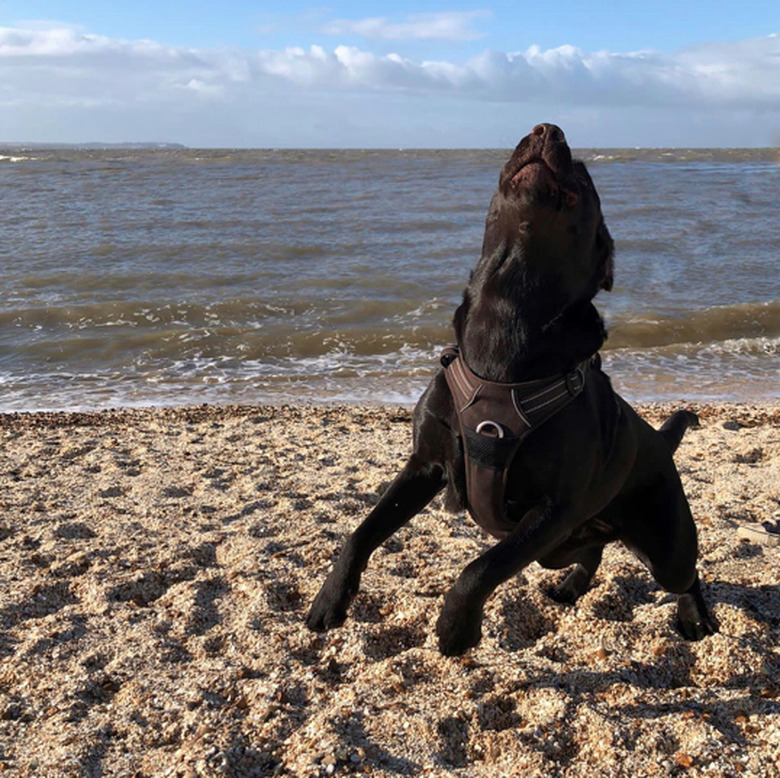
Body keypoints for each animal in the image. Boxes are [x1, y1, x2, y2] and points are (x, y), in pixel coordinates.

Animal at [306, 123, 720, 656]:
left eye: (583, 174)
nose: (547, 128)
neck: (508, 308)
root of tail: (659, 442)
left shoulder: (554, 510)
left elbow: (481, 568)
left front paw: (455, 628)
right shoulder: (425, 465)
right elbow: (361, 532)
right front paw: (329, 601)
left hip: (660, 541)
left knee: (686, 575)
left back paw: (694, 617)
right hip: (563, 545)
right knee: (592, 552)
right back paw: (569, 588)